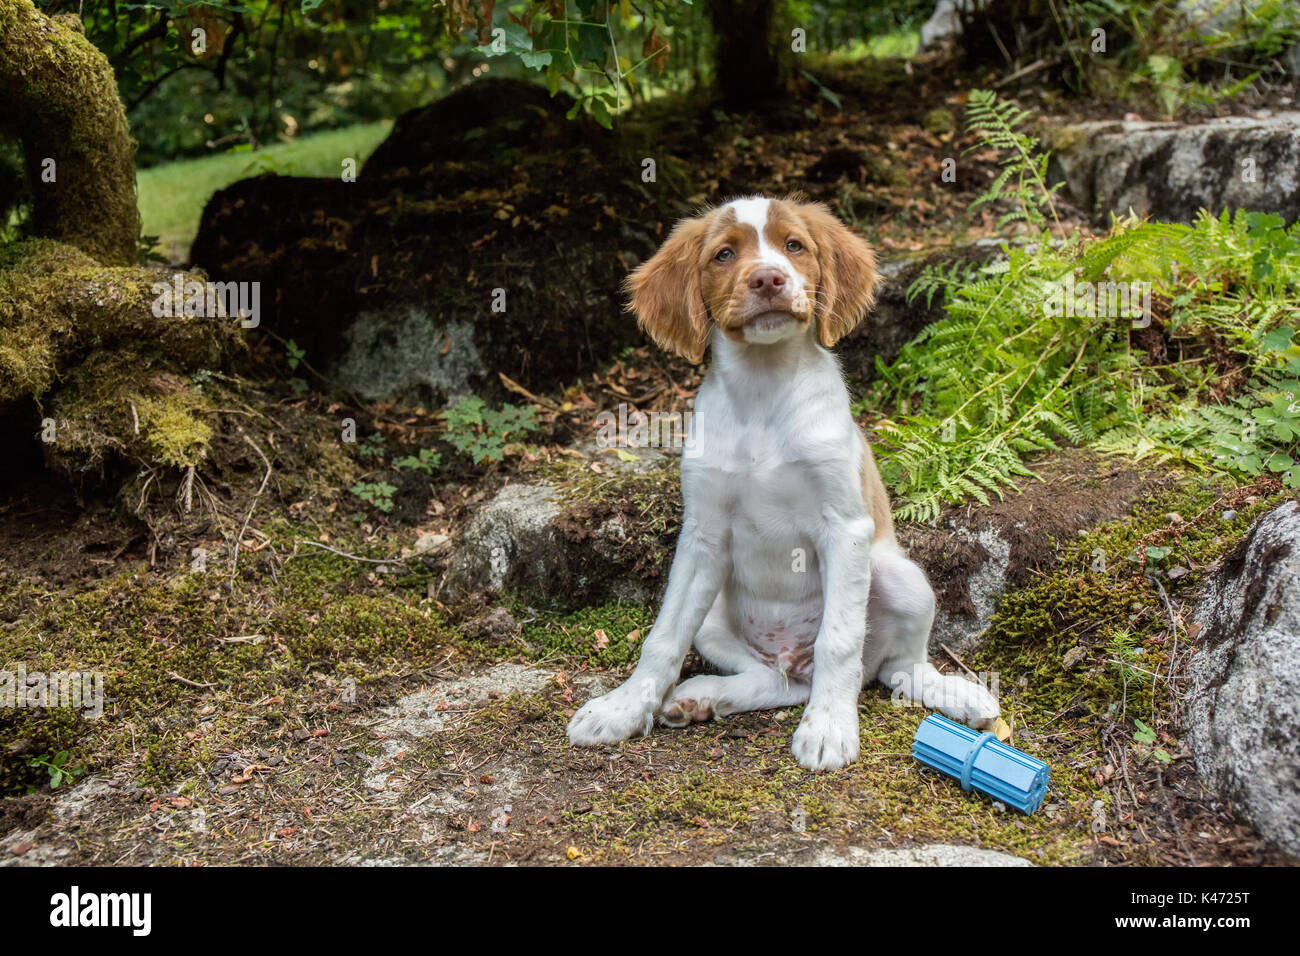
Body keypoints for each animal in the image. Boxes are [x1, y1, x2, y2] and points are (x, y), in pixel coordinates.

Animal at [564, 195, 998, 770]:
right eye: (724, 254)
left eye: (794, 246)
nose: (768, 278)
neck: (763, 392)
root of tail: (794, 659)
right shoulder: (702, 537)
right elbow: (662, 637)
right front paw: (623, 709)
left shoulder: (845, 528)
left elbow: (839, 639)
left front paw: (829, 728)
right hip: (717, 616)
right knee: (777, 679)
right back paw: (705, 695)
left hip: (898, 576)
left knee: (895, 669)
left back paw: (954, 694)